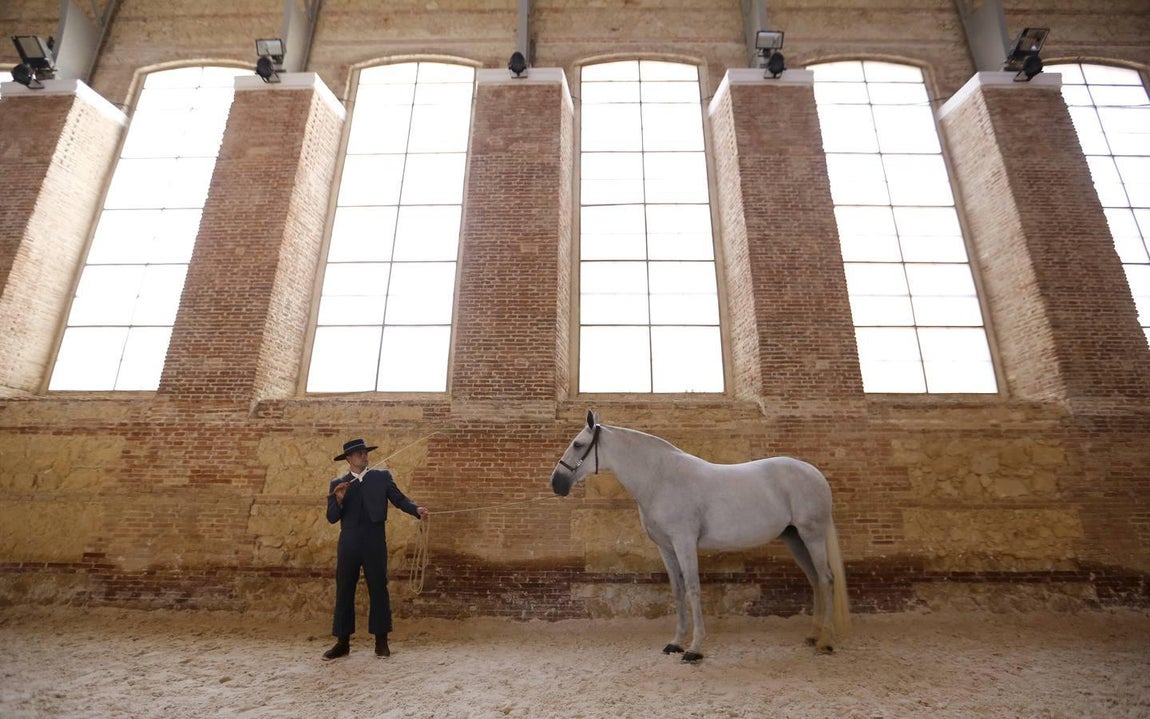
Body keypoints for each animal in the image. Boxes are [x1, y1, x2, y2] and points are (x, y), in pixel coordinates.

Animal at [550, 410, 850, 662]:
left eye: (578, 444)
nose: (556, 483)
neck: (661, 479)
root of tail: (812, 472)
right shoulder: (666, 547)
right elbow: (678, 589)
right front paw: (676, 642)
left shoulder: (684, 542)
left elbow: (693, 588)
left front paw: (694, 648)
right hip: (794, 538)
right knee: (814, 579)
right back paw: (813, 635)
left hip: (811, 535)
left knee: (826, 578)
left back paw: (826, 641)